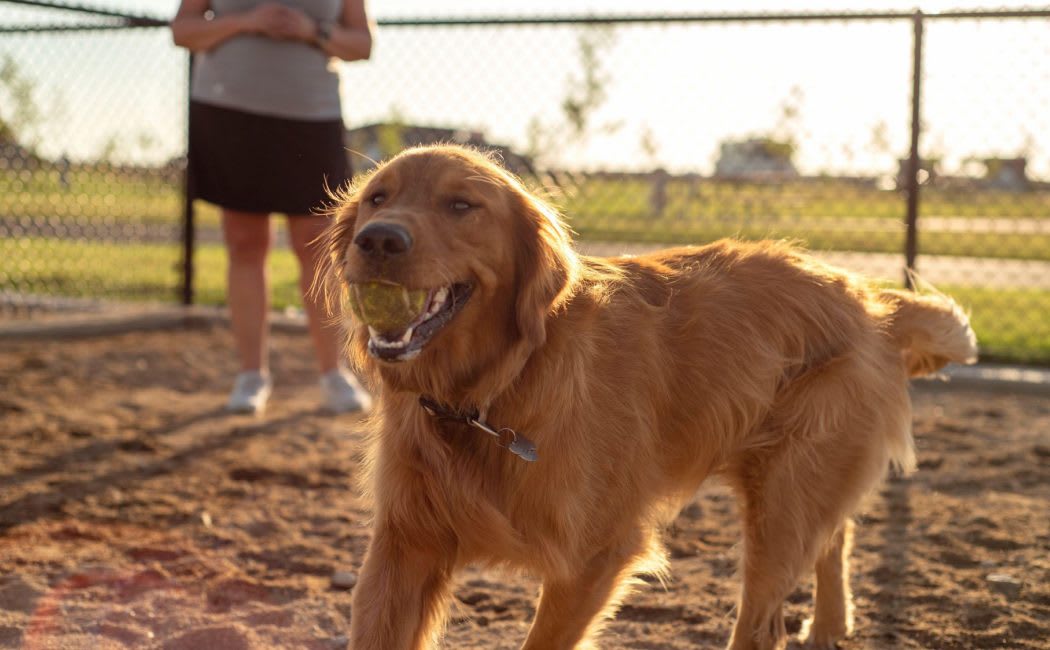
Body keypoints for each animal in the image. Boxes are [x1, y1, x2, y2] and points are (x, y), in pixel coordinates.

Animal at [319, 144, 974, 646]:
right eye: (378, 198)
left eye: (462, 206)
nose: (378, 239)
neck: (489, 392)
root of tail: (869, 297)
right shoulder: (403, 548)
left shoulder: (595, 558)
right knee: (835, 536)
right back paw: (831, 625)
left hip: (783, 503)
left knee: (764, 620)